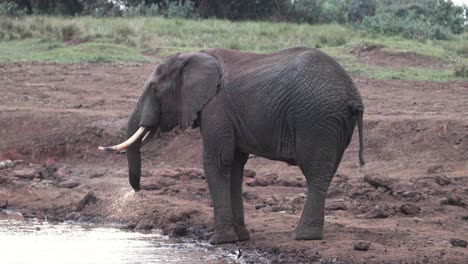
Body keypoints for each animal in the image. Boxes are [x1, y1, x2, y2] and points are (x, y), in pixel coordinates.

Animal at [99, 46, 366, 244]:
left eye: (154, 89)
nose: (136, 191)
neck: (193, 57)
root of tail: (353, 96)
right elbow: (235, 166)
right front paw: (241, 238)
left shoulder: (216, 107)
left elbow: (217, 161)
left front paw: (219, 241)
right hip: (332, 124)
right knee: (325, 172)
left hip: (317, 120)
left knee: (316, 171)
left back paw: (304, 236)